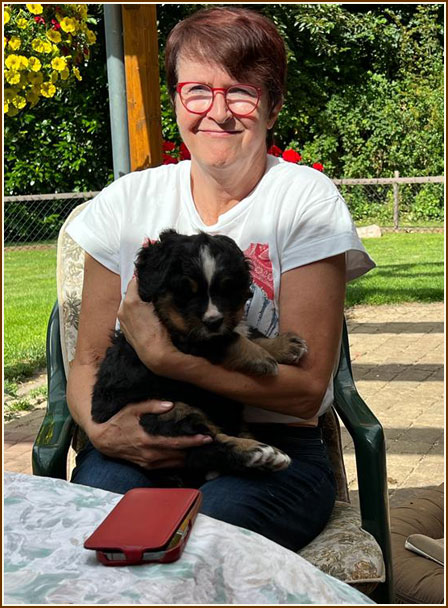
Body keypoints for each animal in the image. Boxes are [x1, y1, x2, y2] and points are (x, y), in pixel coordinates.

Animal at [91, 229, 308, 475]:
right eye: (186, 293)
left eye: (226, 289)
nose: (213, 322)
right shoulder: (190, 338)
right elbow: (233, 339)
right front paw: (263, 359)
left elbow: (249, 332)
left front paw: (285, 345)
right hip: (168, 411)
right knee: (206, 447)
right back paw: (259, 453)